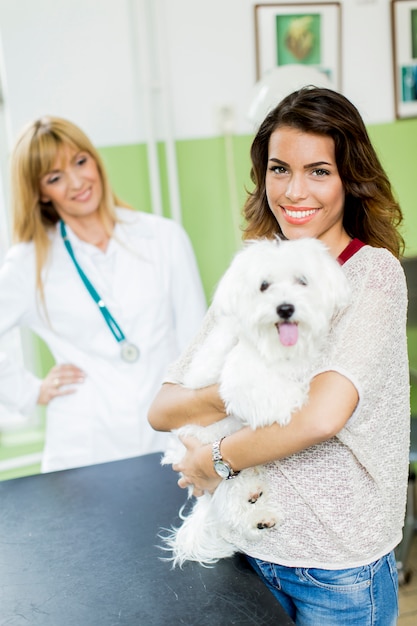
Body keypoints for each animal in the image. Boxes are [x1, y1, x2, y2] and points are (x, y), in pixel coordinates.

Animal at [161, 235, 350, 564]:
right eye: (264, 286)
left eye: (302, 281)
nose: (285, 308)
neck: (280, 347)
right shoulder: (243, 380)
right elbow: (282, 397)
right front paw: (297, 398)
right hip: (212, 462)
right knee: (228, 504)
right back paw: (256, 518)